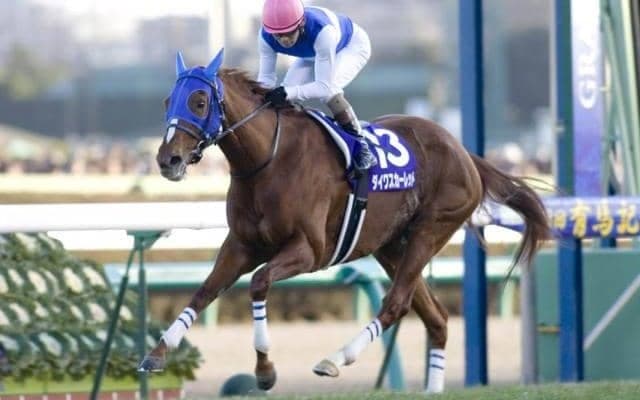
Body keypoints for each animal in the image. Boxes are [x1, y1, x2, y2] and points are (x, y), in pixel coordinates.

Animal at [139, 49, 551, 393]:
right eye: (167, 101)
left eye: (199, 101)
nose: (167, 160)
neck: (268, 161)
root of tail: (463, 151)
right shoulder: (241, 245)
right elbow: (204, 291)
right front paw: (157, 353)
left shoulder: (309, 250)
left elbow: (258, 283)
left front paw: (265, 371)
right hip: (391, 245)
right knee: (434, 315)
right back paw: (431, 388)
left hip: (430, 230)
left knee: (396, 303)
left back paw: (335, 359)